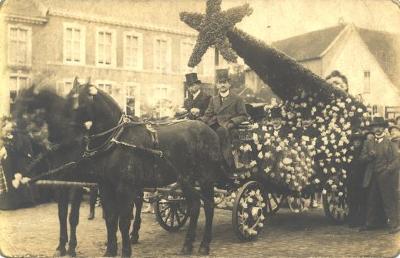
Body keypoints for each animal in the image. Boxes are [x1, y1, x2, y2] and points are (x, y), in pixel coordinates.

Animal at [72, 82, 228, 256]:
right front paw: (110, 251)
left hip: (205, 177)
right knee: (194, 206)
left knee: (208, 206)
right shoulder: (105, 186)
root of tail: (211, 131)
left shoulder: (125, 188)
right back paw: (187, 245)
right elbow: (111, 219)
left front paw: (126, 250)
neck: (116, 138)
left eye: (80, 101)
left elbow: (124, 220)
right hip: (185, 178)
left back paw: (204, 245)